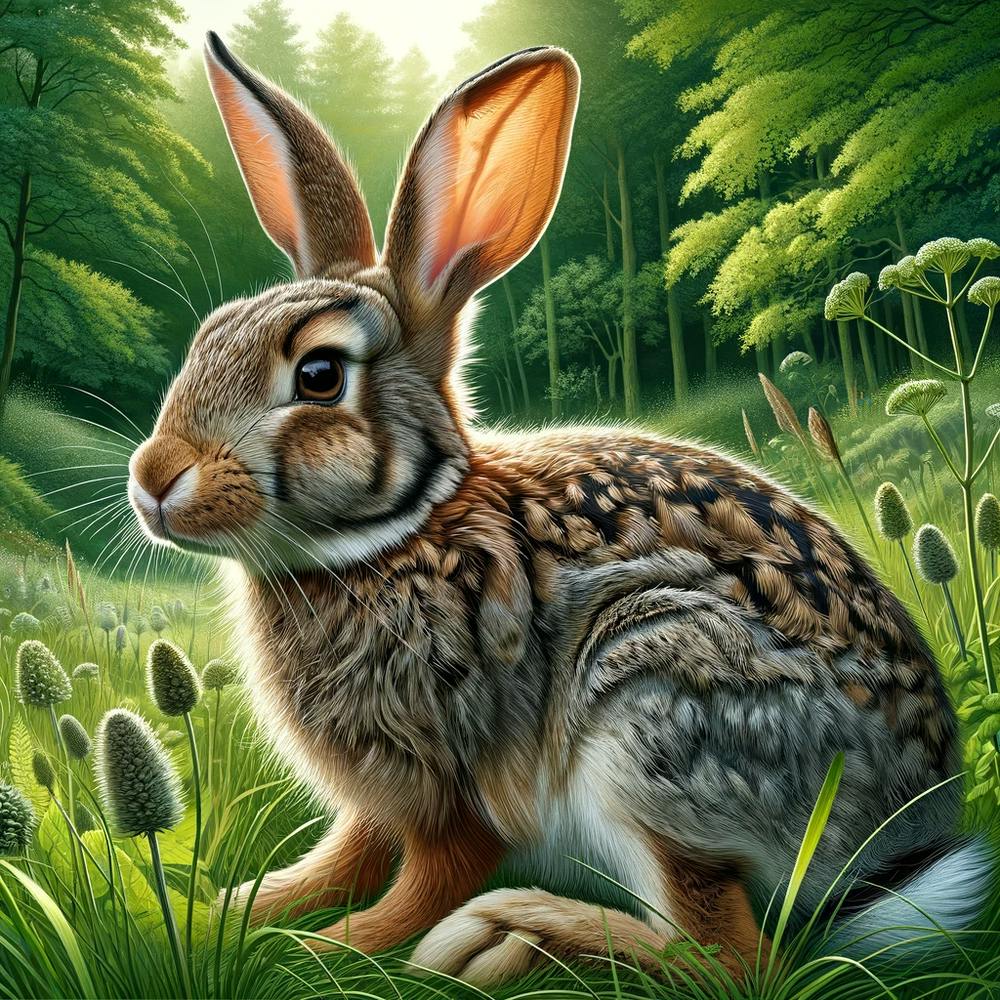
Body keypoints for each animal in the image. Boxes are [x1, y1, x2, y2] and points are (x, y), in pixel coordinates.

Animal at [126, 32, 991, 988]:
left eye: (318, 375)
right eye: (207, 338)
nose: (154, 478)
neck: (395, 533)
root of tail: (905, 836)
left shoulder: (456, 782)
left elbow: (424, 882)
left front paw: (325, 949)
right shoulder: (378, 800)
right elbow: (346, 855)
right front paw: (236, 911)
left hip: (650, 703)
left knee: (729, 958)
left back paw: (511, 933)